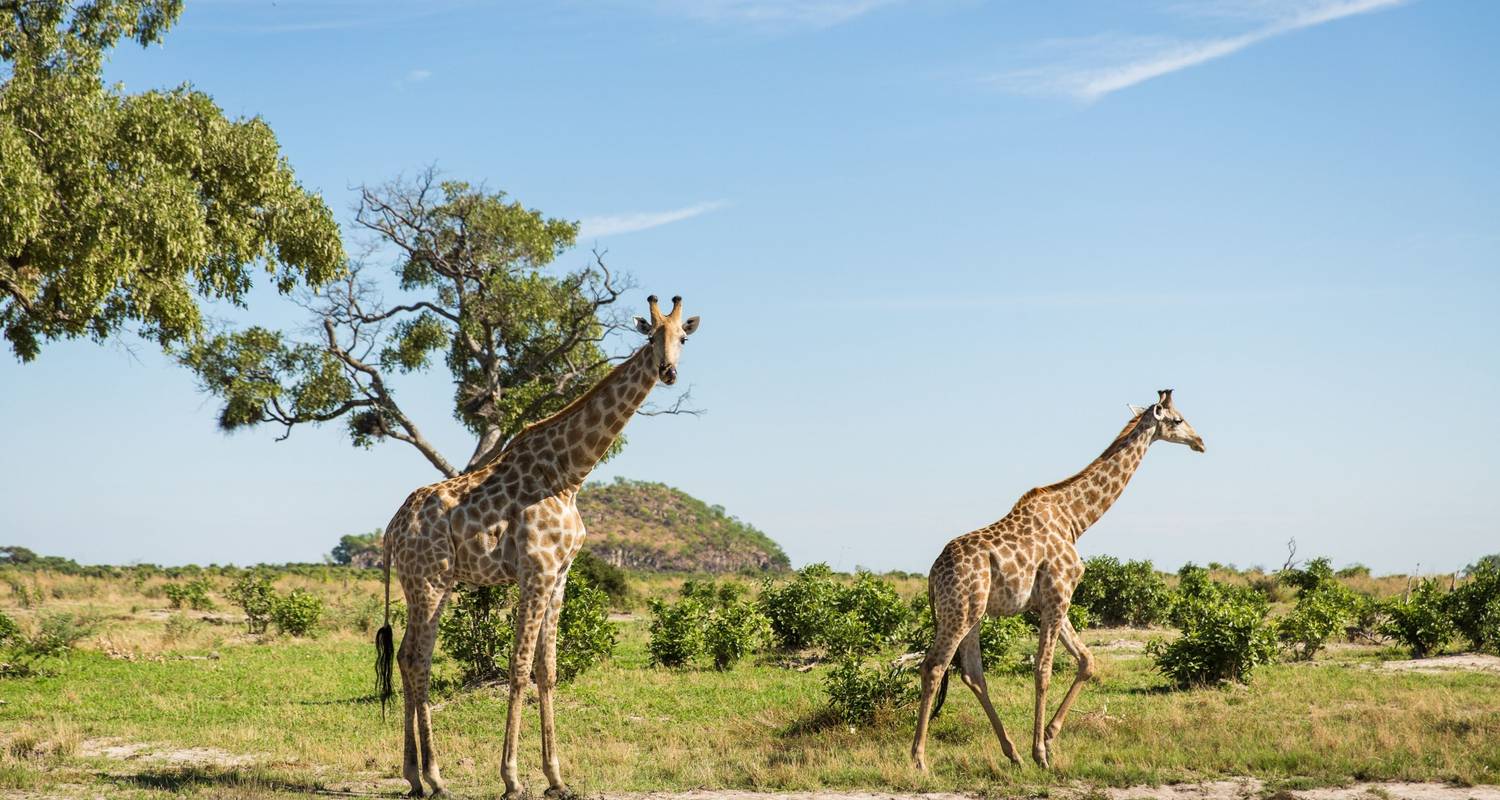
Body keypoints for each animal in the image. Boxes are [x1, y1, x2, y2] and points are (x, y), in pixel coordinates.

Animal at [375, 294, 702, 798]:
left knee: (409, 656)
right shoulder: (536, 570)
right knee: (415, 659)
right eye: (650, 336)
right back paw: (435, 776)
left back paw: (415, 776)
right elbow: (519, 665)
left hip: (428, 583)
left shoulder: (561, 574)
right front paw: (511, 778)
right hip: (429, 580)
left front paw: (556, 777)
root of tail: (392, 529)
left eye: (682, 338)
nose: (667, 371)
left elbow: (547, 669)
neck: (569, 475)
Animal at [900, 390, 1206, 768]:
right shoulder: (1059, 593)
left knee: (972, 672)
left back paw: (1012, 753)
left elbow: (1087, 661)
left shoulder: (1050, 600)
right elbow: (1043, 670)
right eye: (1178, 420)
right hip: (959, 612)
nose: (1200, 441)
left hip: (973, 614)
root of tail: (932, 573)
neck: (1075, 518)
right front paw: (1042, 753)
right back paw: (920, 759)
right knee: (933, 667)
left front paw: (1048, 736)